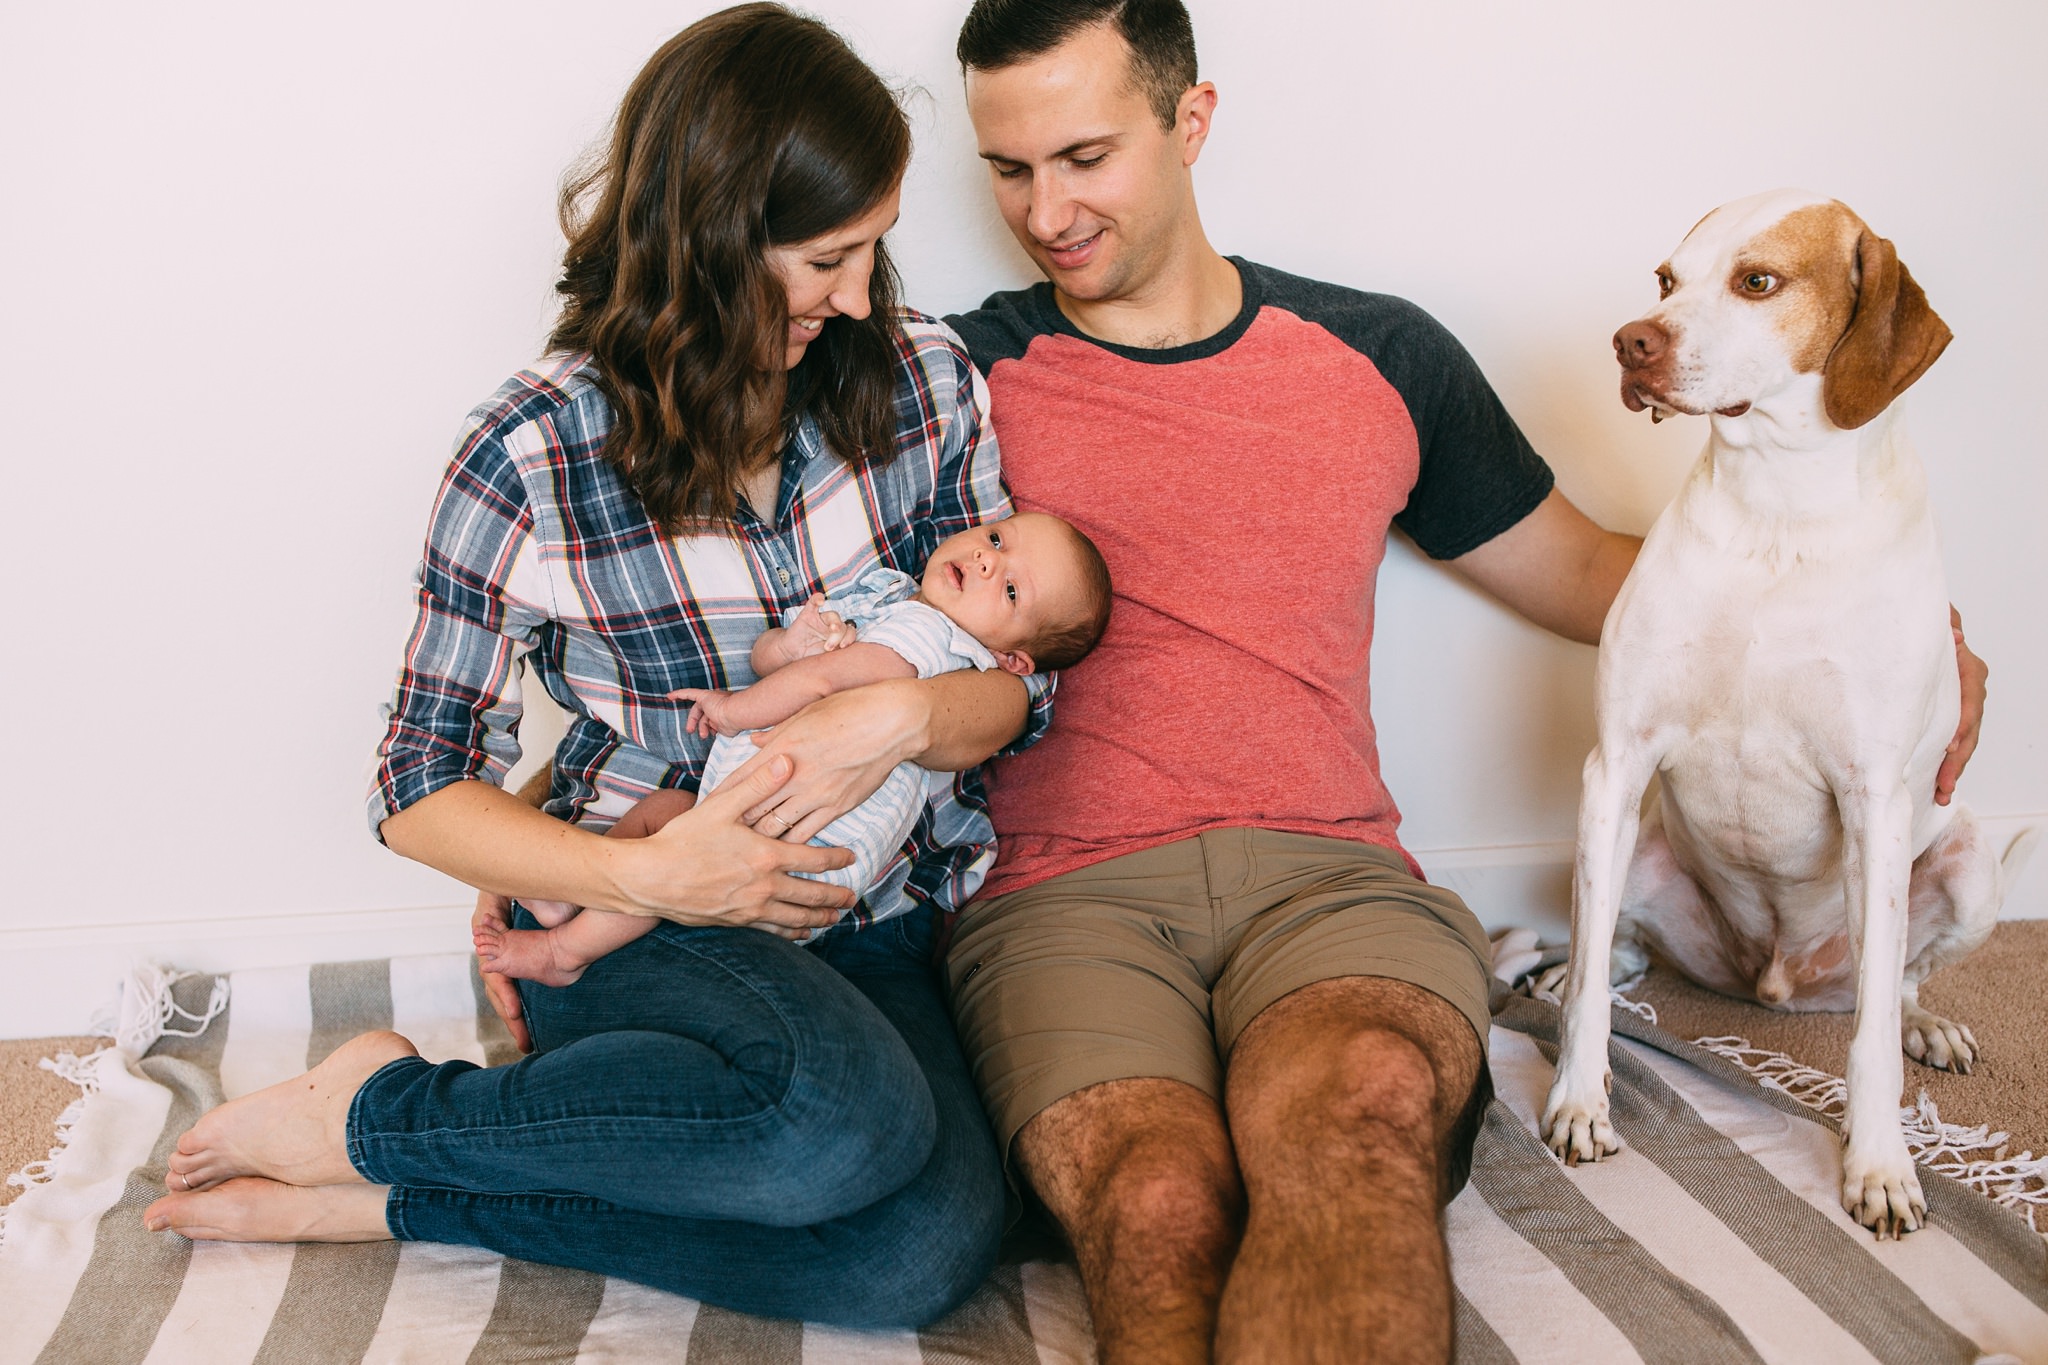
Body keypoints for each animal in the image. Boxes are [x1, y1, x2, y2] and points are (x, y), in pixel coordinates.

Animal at [1540, 187, 2031, 1244]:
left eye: (1758, 281)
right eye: (1665, 279)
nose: (1630, 342)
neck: (1777, 511)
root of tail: (1771, 985)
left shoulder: (1875, 798)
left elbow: (1872, 1042)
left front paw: (1880, 1166)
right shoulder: (1618, 762)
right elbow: (1595, 984)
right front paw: (1578, 1101)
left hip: (1966, 871)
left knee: (1896, 984)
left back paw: (1927, 1023)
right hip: (1630, 844)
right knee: (1616, 941)